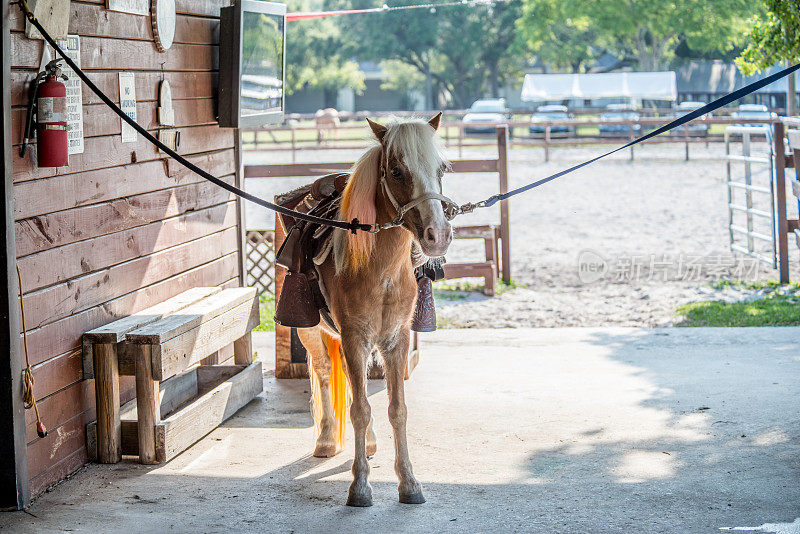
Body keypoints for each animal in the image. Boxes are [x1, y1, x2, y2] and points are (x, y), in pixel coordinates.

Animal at [298, 113, 454, 506]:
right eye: (396, 171)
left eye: (441, 168)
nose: (438, 235)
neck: (379, 270)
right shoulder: (355, 337)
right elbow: (359, 410)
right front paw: (360, 486)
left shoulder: (394, 340)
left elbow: (396, 409)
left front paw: (409, 482)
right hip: (310, 330)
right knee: (325, 372)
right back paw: (326, 440)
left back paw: (367, 445)